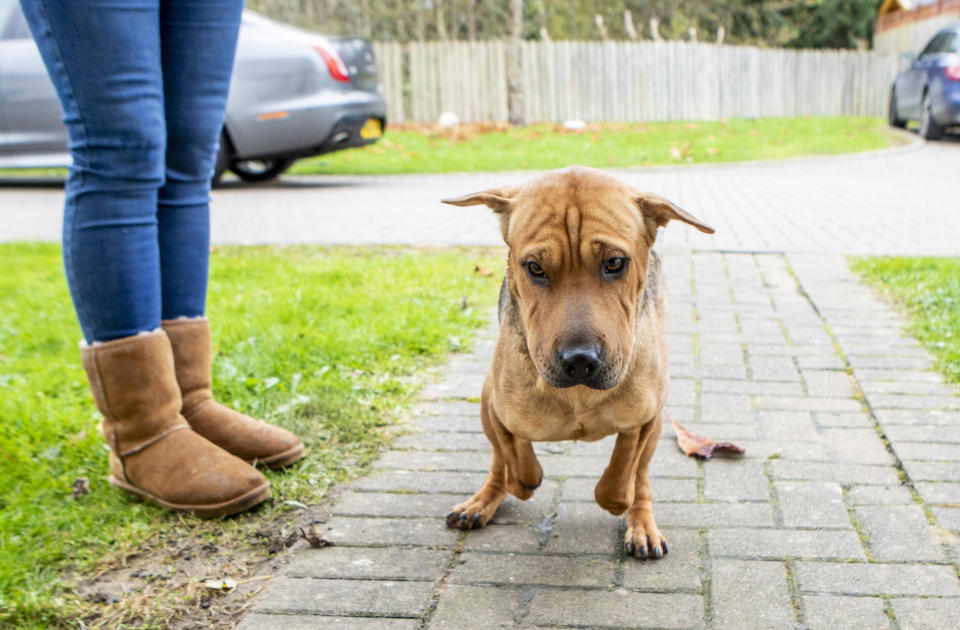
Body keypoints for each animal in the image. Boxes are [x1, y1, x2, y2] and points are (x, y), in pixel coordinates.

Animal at [442, 165, 712, 560]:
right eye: (535, 267)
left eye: (614, 263)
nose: (580, 360)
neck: (578, 396)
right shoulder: (494, 403)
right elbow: (514, 459)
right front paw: (526, 475)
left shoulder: (647, 415)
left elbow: (621, 475)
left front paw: (619, 501)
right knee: (499, 464)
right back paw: (483, 500)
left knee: (641, 478)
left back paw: (641, 523)